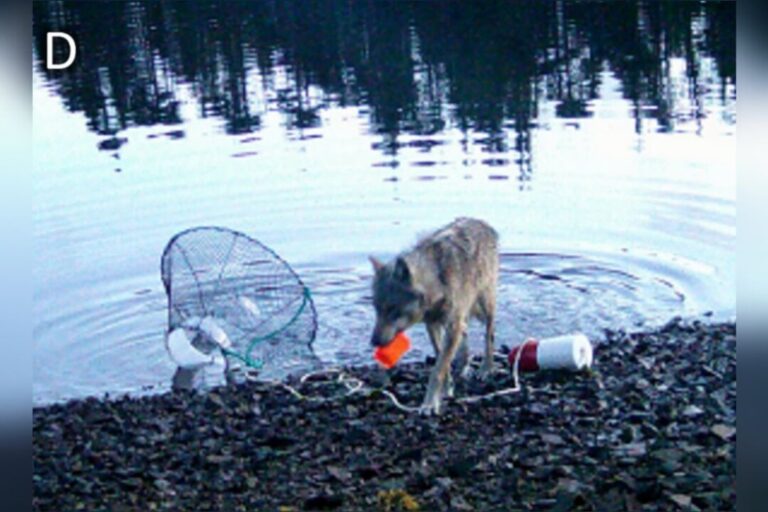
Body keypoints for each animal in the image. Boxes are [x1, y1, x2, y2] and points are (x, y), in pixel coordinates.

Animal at [369, 217, 499, 415]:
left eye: (392, 309)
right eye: (376, 309)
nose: (374, 342)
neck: (437, 280)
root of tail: (483, 223)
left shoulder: (452, 325)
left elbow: (437, 370)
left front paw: (429, 404)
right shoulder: (432, 325)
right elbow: (441, 360)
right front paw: (447, 389)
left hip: (485, 305)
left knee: (489, 334)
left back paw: (486, 368)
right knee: (465, 336)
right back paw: (464, 366)